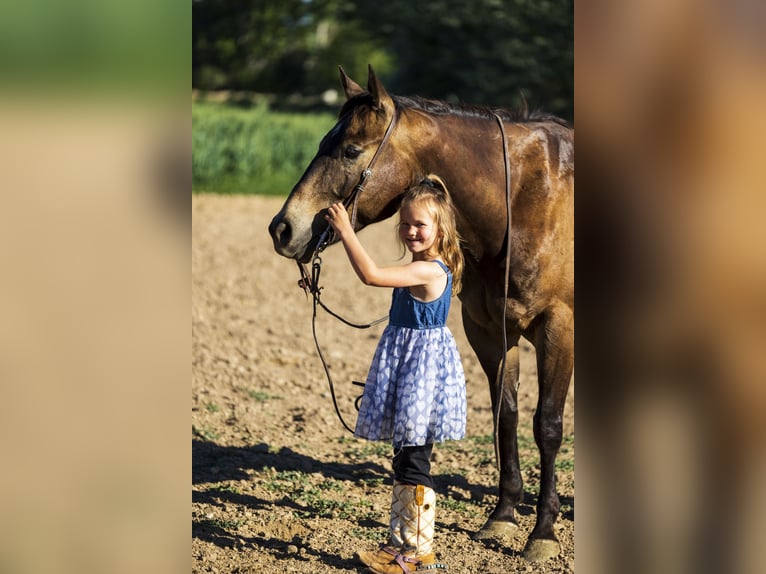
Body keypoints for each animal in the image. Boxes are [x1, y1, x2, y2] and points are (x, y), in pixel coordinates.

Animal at [268, 64, 572, 564]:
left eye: (351, 150)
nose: (282, 228)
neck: (528, 200)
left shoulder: (558, 329)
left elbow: (546, 425)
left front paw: (543, 532)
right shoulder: (490, 331)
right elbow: (506, 415)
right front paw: (504, 515)